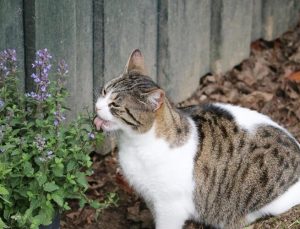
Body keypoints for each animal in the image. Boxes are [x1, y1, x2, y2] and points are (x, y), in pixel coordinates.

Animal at [94, 49, 300, 229]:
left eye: (115, 105)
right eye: (103, 91)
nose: (96, 107)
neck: (134, 142)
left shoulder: (170, 206)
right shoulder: (151, 198)